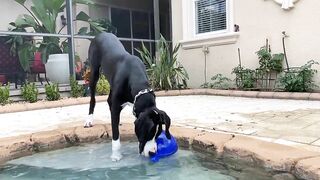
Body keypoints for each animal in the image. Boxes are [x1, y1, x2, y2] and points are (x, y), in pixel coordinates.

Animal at [84, 32, 171, 162]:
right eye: (148, 134)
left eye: (158, 134)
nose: (152, 153)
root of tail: (102, 33)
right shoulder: (117, 105)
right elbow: (116, 138)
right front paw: (116, 155)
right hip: (94, 71)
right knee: (93, 99)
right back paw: (89, 120)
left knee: (109, 101)